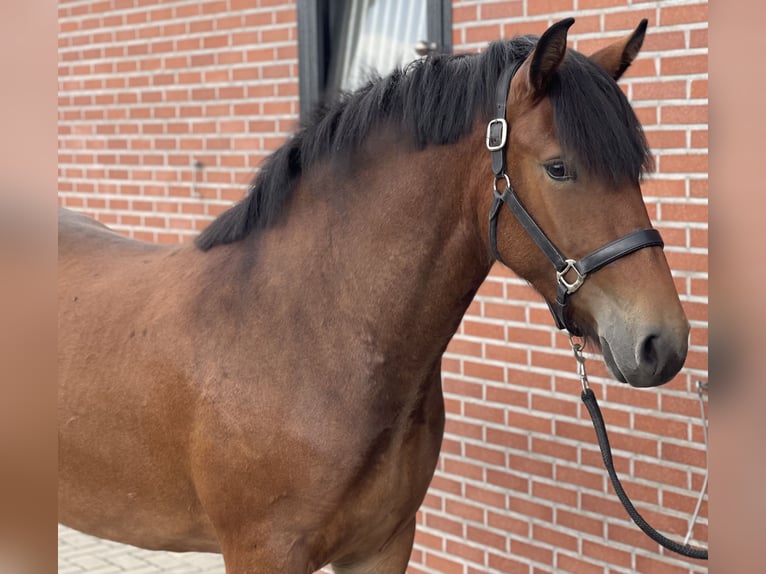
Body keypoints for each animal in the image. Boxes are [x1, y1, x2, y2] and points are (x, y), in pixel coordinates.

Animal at [58, 18, 688, 574]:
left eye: (635, 170)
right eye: (559, 169)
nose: (664, 343)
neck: (308, 335)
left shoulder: (384, 544)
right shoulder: (263, 553)